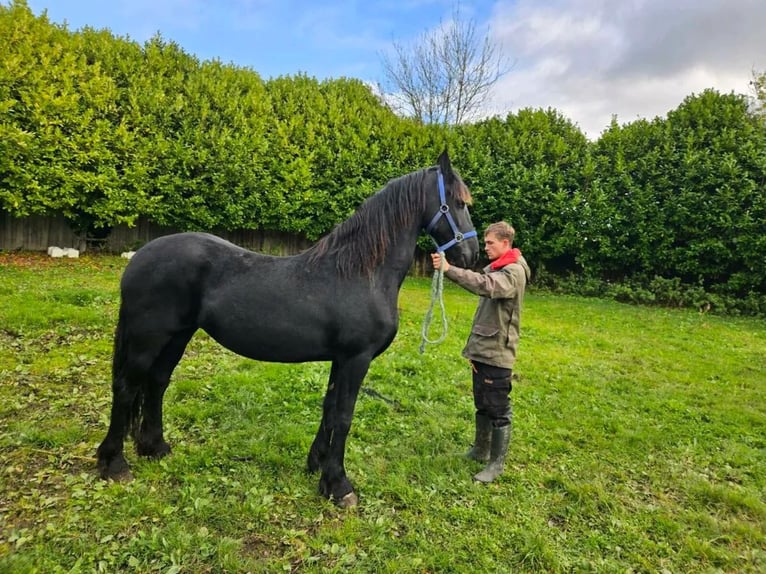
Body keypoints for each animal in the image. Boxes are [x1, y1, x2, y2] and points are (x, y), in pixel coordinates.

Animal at [96, 150, 480, 507]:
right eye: (459, 202)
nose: (472, 254)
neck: (361, 272)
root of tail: (140, 256)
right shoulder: (356, 358)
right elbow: (344, 416)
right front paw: (339, 486)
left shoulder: (341, 359)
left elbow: (329, 409)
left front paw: (318, 467)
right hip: (148, 338)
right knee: (127, 387)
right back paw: (114, 464)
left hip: (177, 336)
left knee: (157, 383)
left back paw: (155, 447)